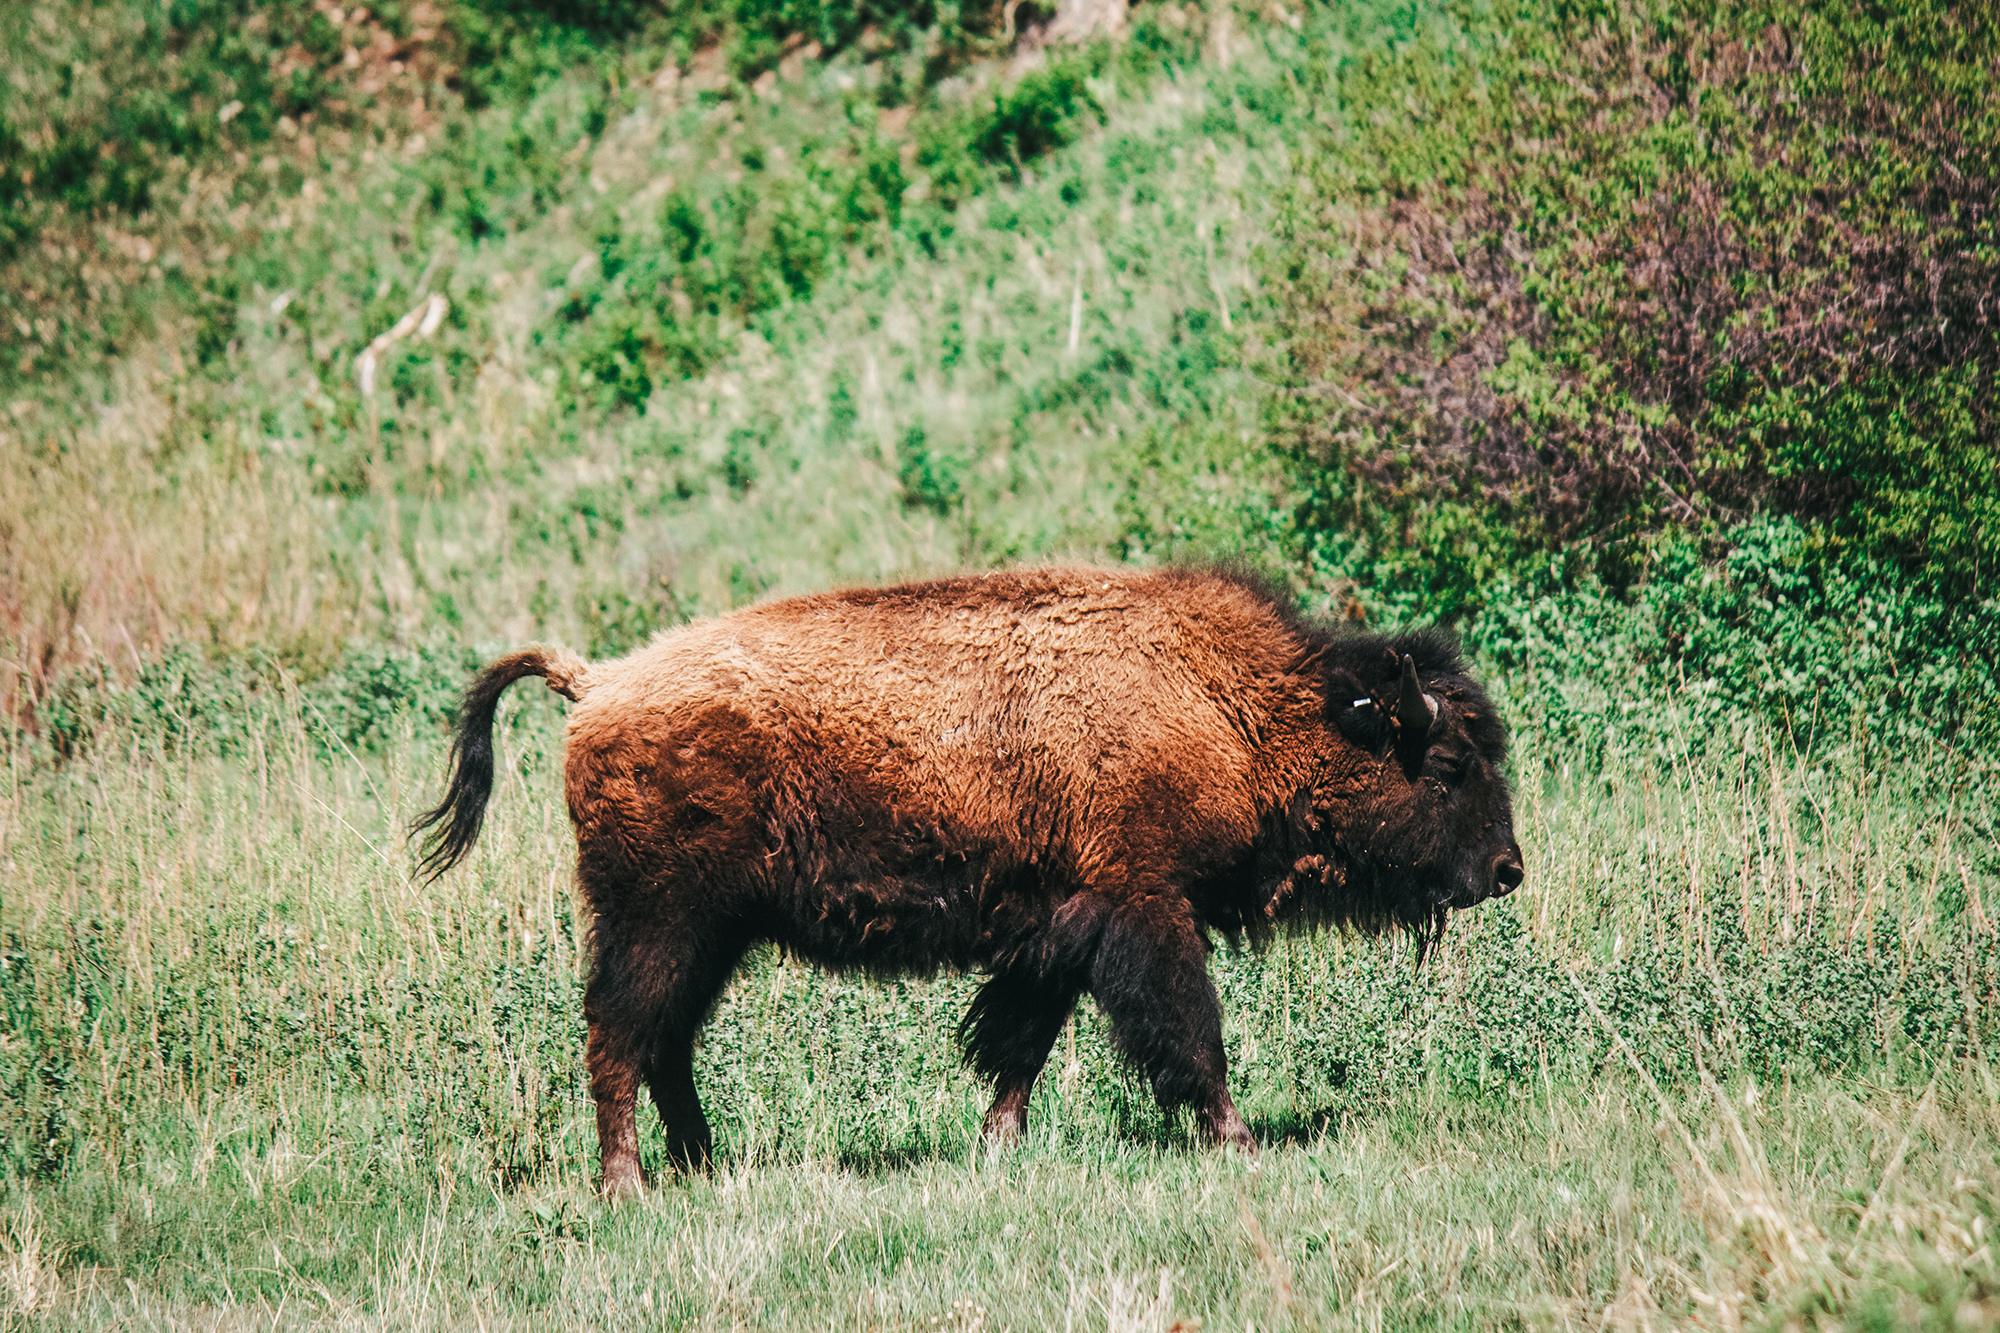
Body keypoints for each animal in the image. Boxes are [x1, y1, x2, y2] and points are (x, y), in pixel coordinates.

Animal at [414, 564, 1520, 1184]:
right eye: (1448, 764)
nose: (1507, 868)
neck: (1224, 701)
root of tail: (597, 682)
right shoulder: (1146, 909)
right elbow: (1185, 1032)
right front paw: (1237, 1140)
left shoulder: (1063, 926)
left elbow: (1020, 1044)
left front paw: (995, 1146)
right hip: (658, 921)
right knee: (619, 1036)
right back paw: (627, 1185)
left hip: (712, 935)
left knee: (664, 1043)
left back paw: (703, 1166)